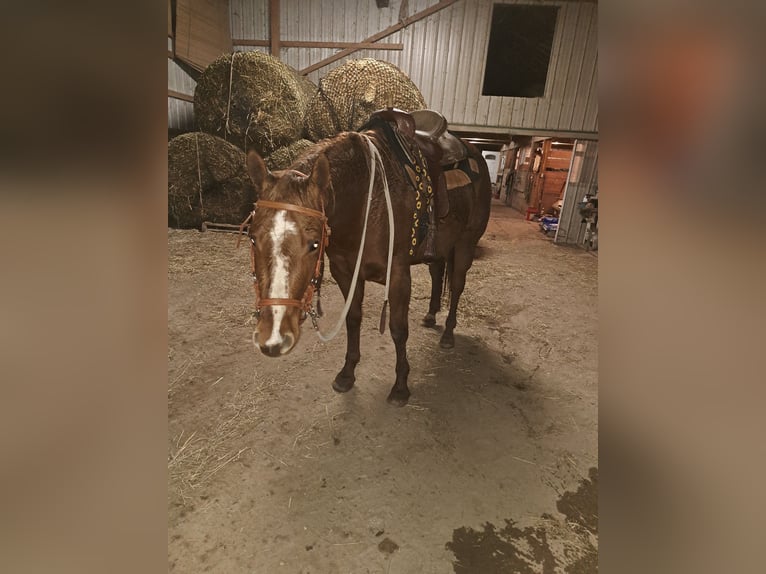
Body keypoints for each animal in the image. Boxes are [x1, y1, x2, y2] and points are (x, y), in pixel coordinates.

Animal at [241, 116, 491, 405]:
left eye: (314, 244)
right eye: (252, 238)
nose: (273, 336)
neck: (365, 201)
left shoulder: (398, 275)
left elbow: (398, 328)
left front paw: (400, 386)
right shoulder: (345, 272)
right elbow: (352, 319)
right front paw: (346, 374)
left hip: (465, 245)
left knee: (458, 286)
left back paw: (449, 334)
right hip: (440, 246)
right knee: (437, 272)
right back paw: (430, 315)